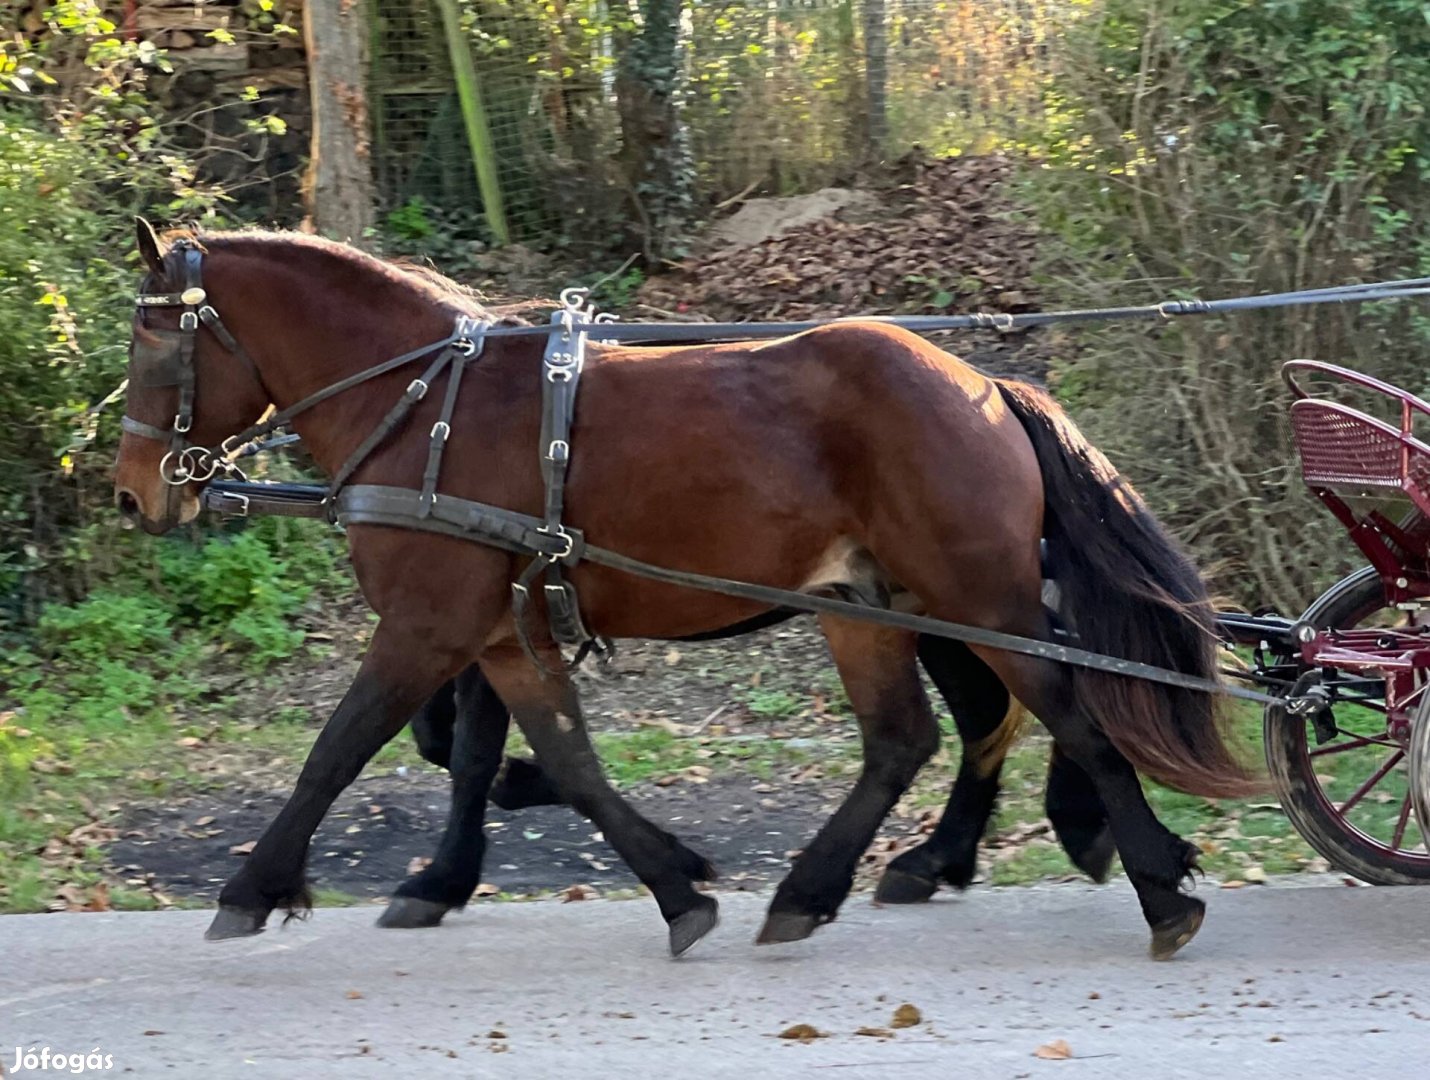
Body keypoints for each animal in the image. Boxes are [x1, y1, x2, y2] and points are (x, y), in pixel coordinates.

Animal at [114, 224, 1252, 961]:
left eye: (153, 339)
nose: (133, 491)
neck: (426, 404)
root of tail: (983, 387)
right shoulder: (497, 638)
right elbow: (556, 760)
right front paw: (670, 882)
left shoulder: (429, 628)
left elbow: (339, 750)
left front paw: (253, 888)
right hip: (872, 607)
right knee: (911, 738)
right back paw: (820, 888)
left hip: (978, 601)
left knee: (1062, 714)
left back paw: (1152, 886)